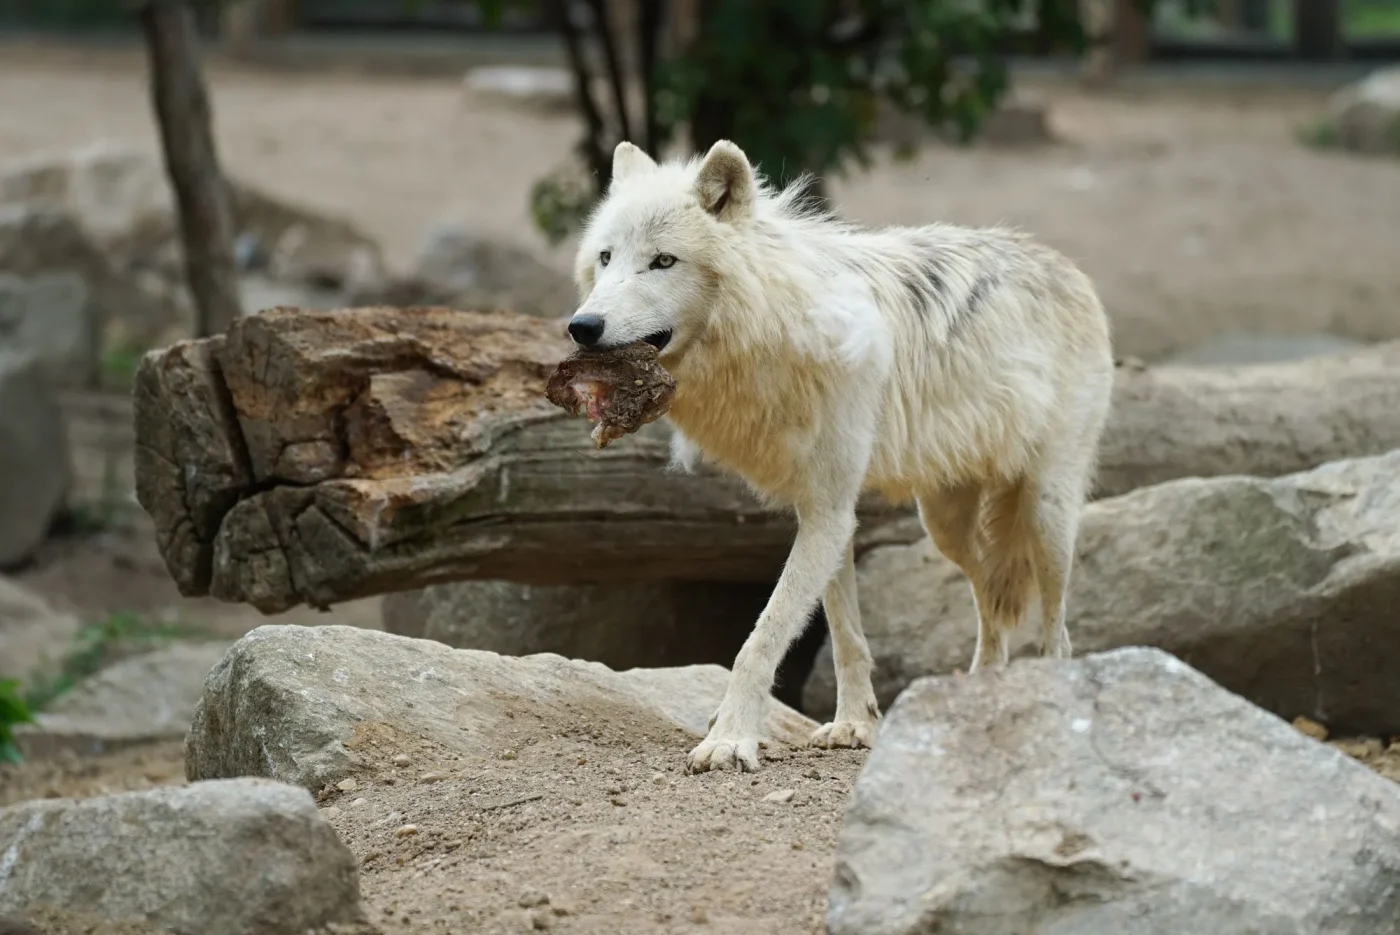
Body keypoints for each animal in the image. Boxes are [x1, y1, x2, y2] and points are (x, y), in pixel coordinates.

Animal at [566, 139, 1114, 774]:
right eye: (606, 257)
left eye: (663, 261)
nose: (583, 326)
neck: (772, 324)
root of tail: (1062, 263)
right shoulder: (824, 512)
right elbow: (846, 634)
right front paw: (854, 724)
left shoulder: (829, 510)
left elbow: (762, 638)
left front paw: (730, 738)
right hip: (945, 525)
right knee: (994, 597)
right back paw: (979, 695)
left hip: (1047, 517)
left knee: (1056, 628)